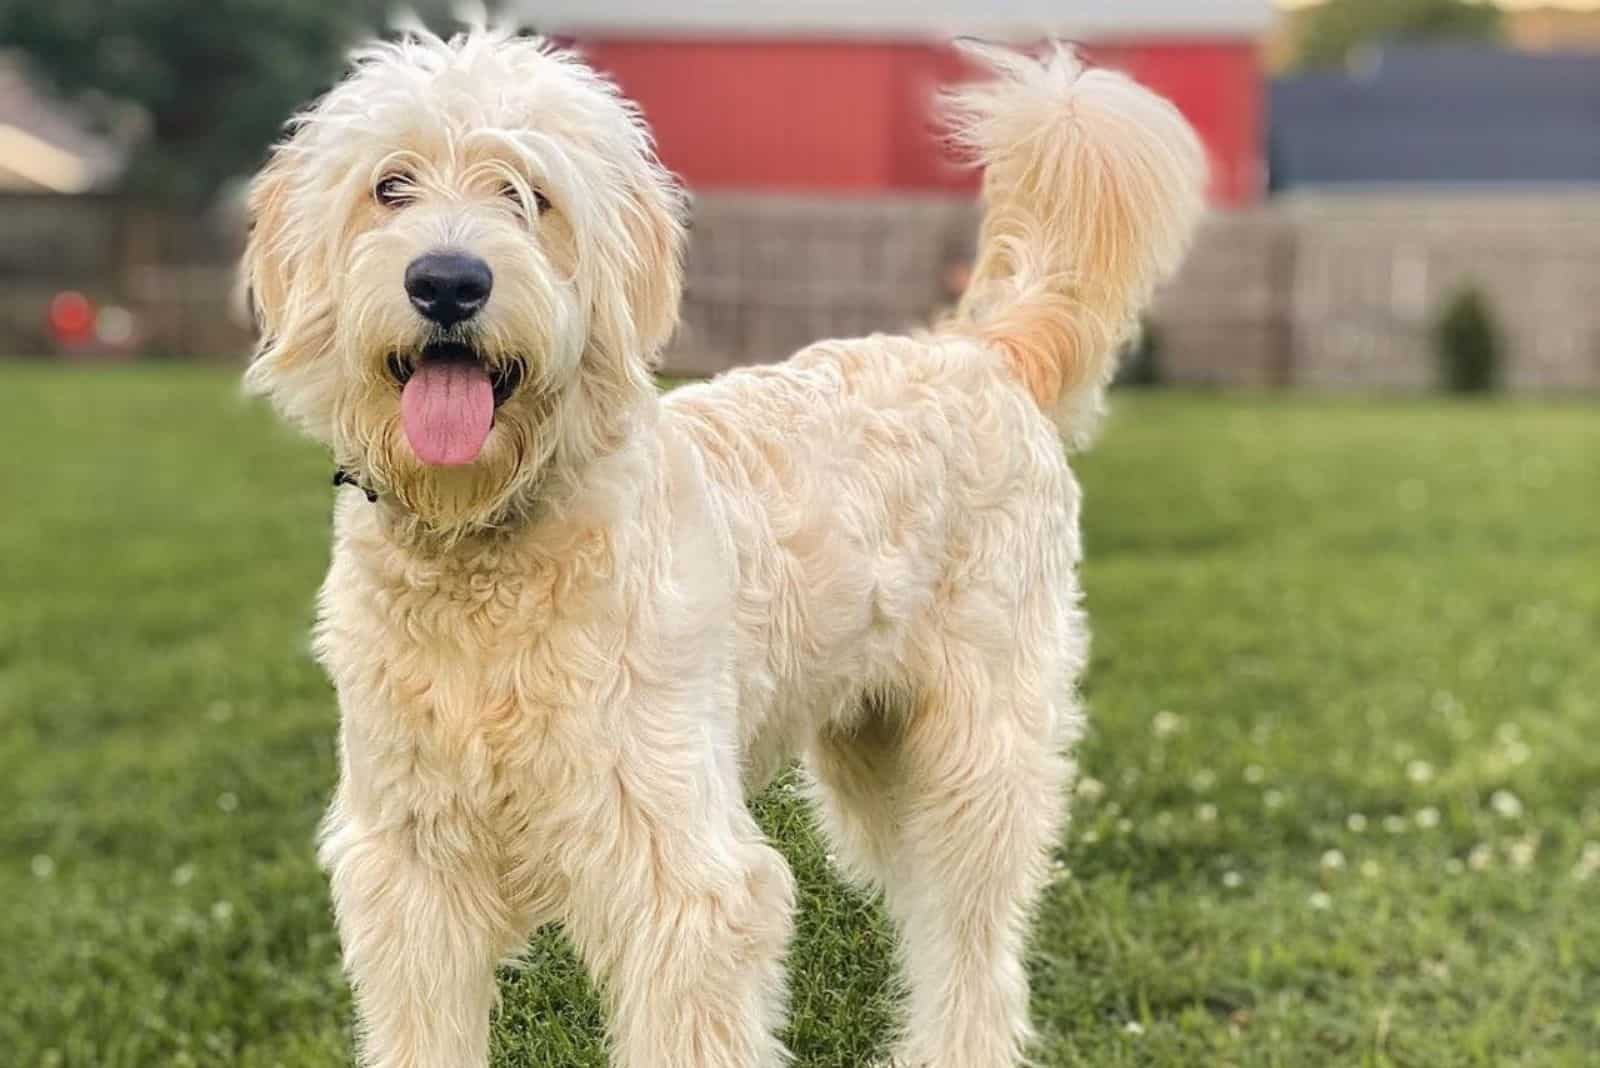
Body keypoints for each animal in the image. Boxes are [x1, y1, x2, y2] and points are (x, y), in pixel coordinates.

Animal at [243, 24, 1203, 1068]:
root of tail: (978, 347)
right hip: (873, 766)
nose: (448, 281)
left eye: (530, 194)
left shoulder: (680, 873)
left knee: (971, 949)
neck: (487, 557)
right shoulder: (412, 873)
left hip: (975, 762)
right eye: (390, 185)